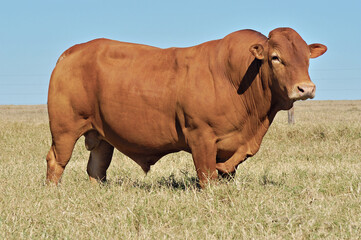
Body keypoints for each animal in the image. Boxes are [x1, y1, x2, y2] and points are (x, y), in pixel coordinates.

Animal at [45, 27, 326, 188]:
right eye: (275, 57)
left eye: (307, 57)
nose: (306, 88)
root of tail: (72, 52)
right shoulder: (201, 137)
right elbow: (208, 178)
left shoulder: (233, 146)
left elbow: (227, 174)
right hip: (65, 129)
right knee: (56, 161)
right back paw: (53, 193)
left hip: (102, 135)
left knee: (96, 168)